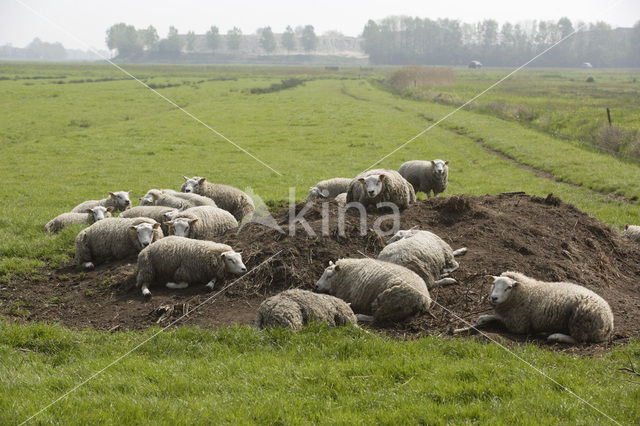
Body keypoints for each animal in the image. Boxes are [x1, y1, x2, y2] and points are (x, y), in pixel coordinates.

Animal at [476, 272, 616, 344]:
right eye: (494, 284)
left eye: (509, 287)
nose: (494, 298)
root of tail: (609, 322)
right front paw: (482, 319)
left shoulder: (518, 324)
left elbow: (499, 318)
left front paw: (484, 318)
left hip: (580, 319)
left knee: (580, 340)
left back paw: (555, 336)